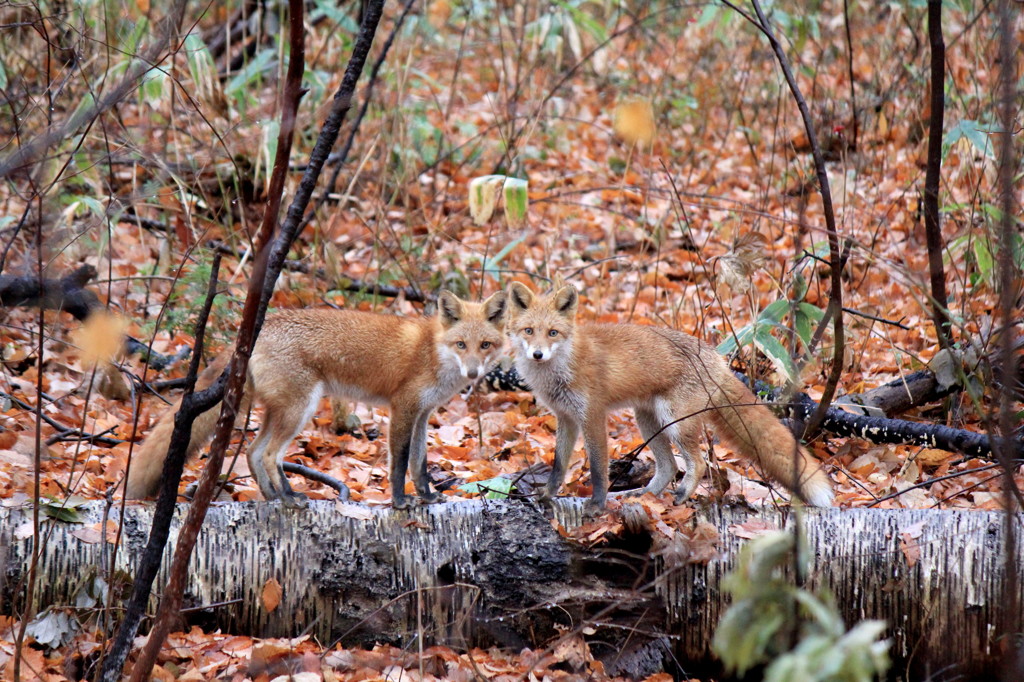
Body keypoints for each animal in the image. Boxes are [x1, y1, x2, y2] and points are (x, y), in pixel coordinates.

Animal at [125, 288, 509, 507]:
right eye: (461, 345)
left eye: (484, 345)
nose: (473, 373)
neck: (432, 351)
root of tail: (256, 330)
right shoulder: (403, 408)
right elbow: (399, 464)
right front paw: (401, 503)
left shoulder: (423, 415)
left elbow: (419, 463)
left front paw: (428, 496)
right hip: (300, 409)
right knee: (268, 454)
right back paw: (288, 498)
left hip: (282, 411)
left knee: (253, 452)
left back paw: (275, 497)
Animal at [503, 280, 831, 509]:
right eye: (529, 331)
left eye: (553, 333)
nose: (537, 354)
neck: (562, 368)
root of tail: (717, 358)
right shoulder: (566, 418)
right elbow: (558, 465)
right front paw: (546, 496)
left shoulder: (592, 415)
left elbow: (598, 468)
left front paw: (596, 506)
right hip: (648, 420)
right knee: (670, 466)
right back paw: (646, 496)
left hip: (675, 421)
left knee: (697, 464)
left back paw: (682, 496)